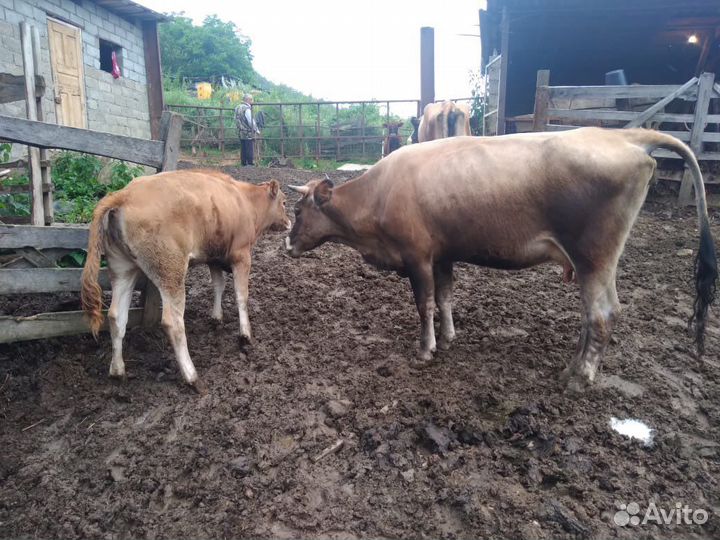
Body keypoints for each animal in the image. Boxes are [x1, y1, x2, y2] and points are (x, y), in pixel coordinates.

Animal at [81, 170, 291, 392]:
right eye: (284, 202)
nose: (289, 222)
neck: (244, 200)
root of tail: (124, 194)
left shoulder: (214, 258)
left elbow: (219, 286)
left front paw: (216, 317)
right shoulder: (242, 256)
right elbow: (241, 295)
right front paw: (245, 334)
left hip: (123, 269)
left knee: (116, 316)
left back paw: (118, 370)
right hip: (171, 271)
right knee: (172, 322)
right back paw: (192, 377)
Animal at [285, 128, 718, 393]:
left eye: (299, 210)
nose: (287, 245)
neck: (380, 193)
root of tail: (621, 134)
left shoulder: (417, 257)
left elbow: (425, 304)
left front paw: (426, 350)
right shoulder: (443, 255)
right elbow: (445, 298)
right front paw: (449, 337)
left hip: (594, 257)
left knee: (601, 315)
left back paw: (579, 377)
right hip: (595, 264)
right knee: (593, 314)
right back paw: (571, 366)